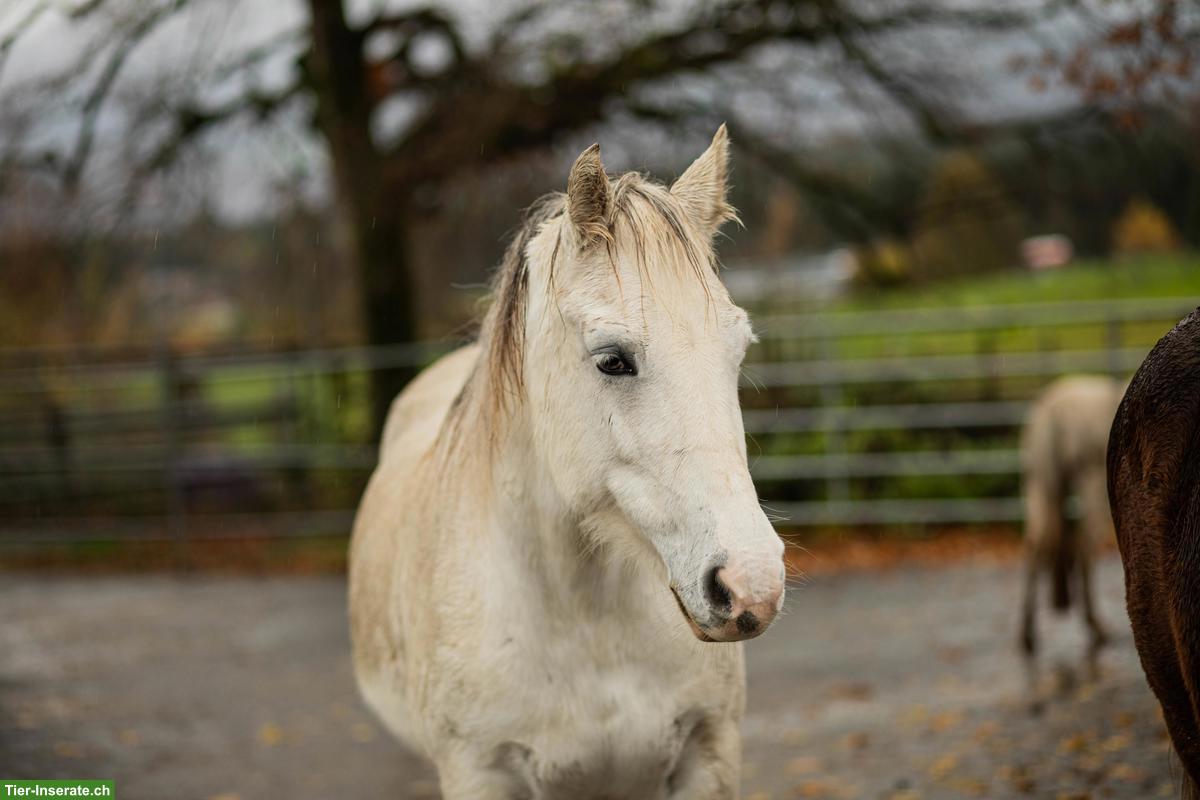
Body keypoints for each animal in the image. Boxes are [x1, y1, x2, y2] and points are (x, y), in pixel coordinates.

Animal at [348, 127, 787, 799]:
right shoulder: (480, 772)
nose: (752, 585)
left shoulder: (707, 753)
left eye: (736, 351)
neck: (586, 622)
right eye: (612, 359)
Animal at [1019, 375, 1124, 657]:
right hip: (1093, 486)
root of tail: (1052, 414)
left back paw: (1028, 636)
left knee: (1037, 544)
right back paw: (1097, 627)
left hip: (1040, 485)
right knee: (1084, 547)